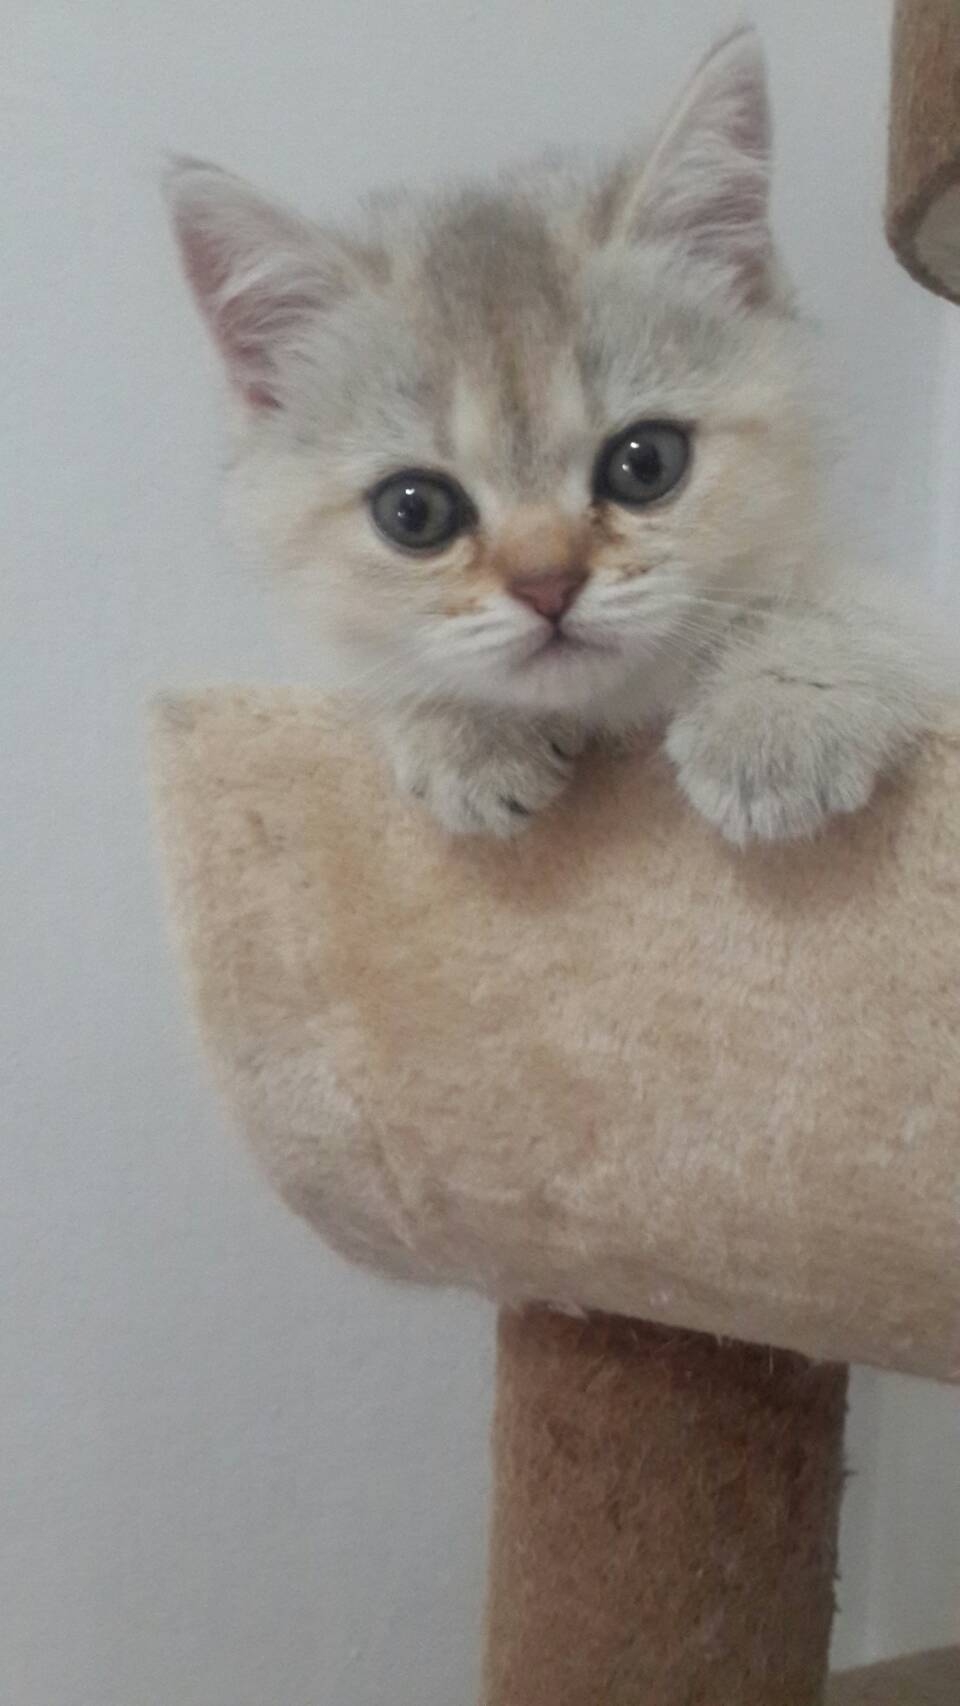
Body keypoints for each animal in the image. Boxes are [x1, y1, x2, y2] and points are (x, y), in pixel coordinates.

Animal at [166, 25, 940, 844]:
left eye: (646, 464)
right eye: (413, 511)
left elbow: (843, 607)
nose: (548, 586)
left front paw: (772, 715)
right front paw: (467, 733)